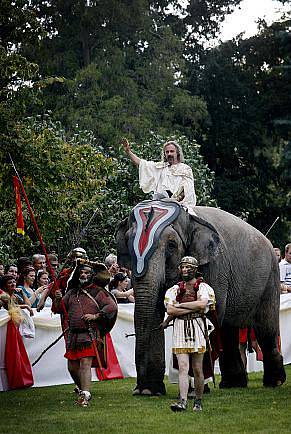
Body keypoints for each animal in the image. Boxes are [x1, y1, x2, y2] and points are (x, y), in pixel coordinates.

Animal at [116, 200, 286, 396]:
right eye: (128, 243)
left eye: (172, 245)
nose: (137, 390)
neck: (189, 218)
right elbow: (151, 314)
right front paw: (149, 392)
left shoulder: (215, 266)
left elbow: (208, 312)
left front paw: (195, 390)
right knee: (228, 329)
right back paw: (233, 383)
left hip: (271, 278)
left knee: (265, 328)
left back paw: (275, 382)